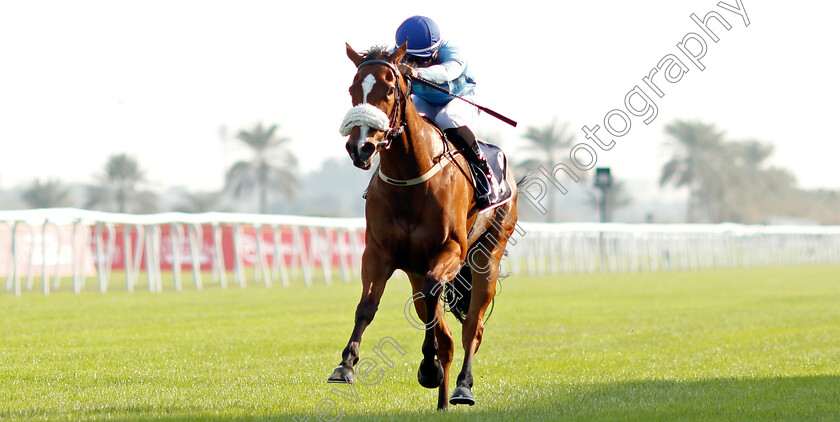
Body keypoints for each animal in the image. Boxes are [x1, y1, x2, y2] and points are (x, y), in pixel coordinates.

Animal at [328, 42, 520, 408]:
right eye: (352, 89)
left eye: (390, 88)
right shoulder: (378, 253)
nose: (360, 147)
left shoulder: (451, 249)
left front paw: (428, 367)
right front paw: (345, 366)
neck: (410, 177)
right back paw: (443, 400)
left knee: (472, 327)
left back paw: (462, 387)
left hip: (488, 254)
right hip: (415, 272)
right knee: (445, 333)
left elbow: (436, 299)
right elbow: (367, 306)